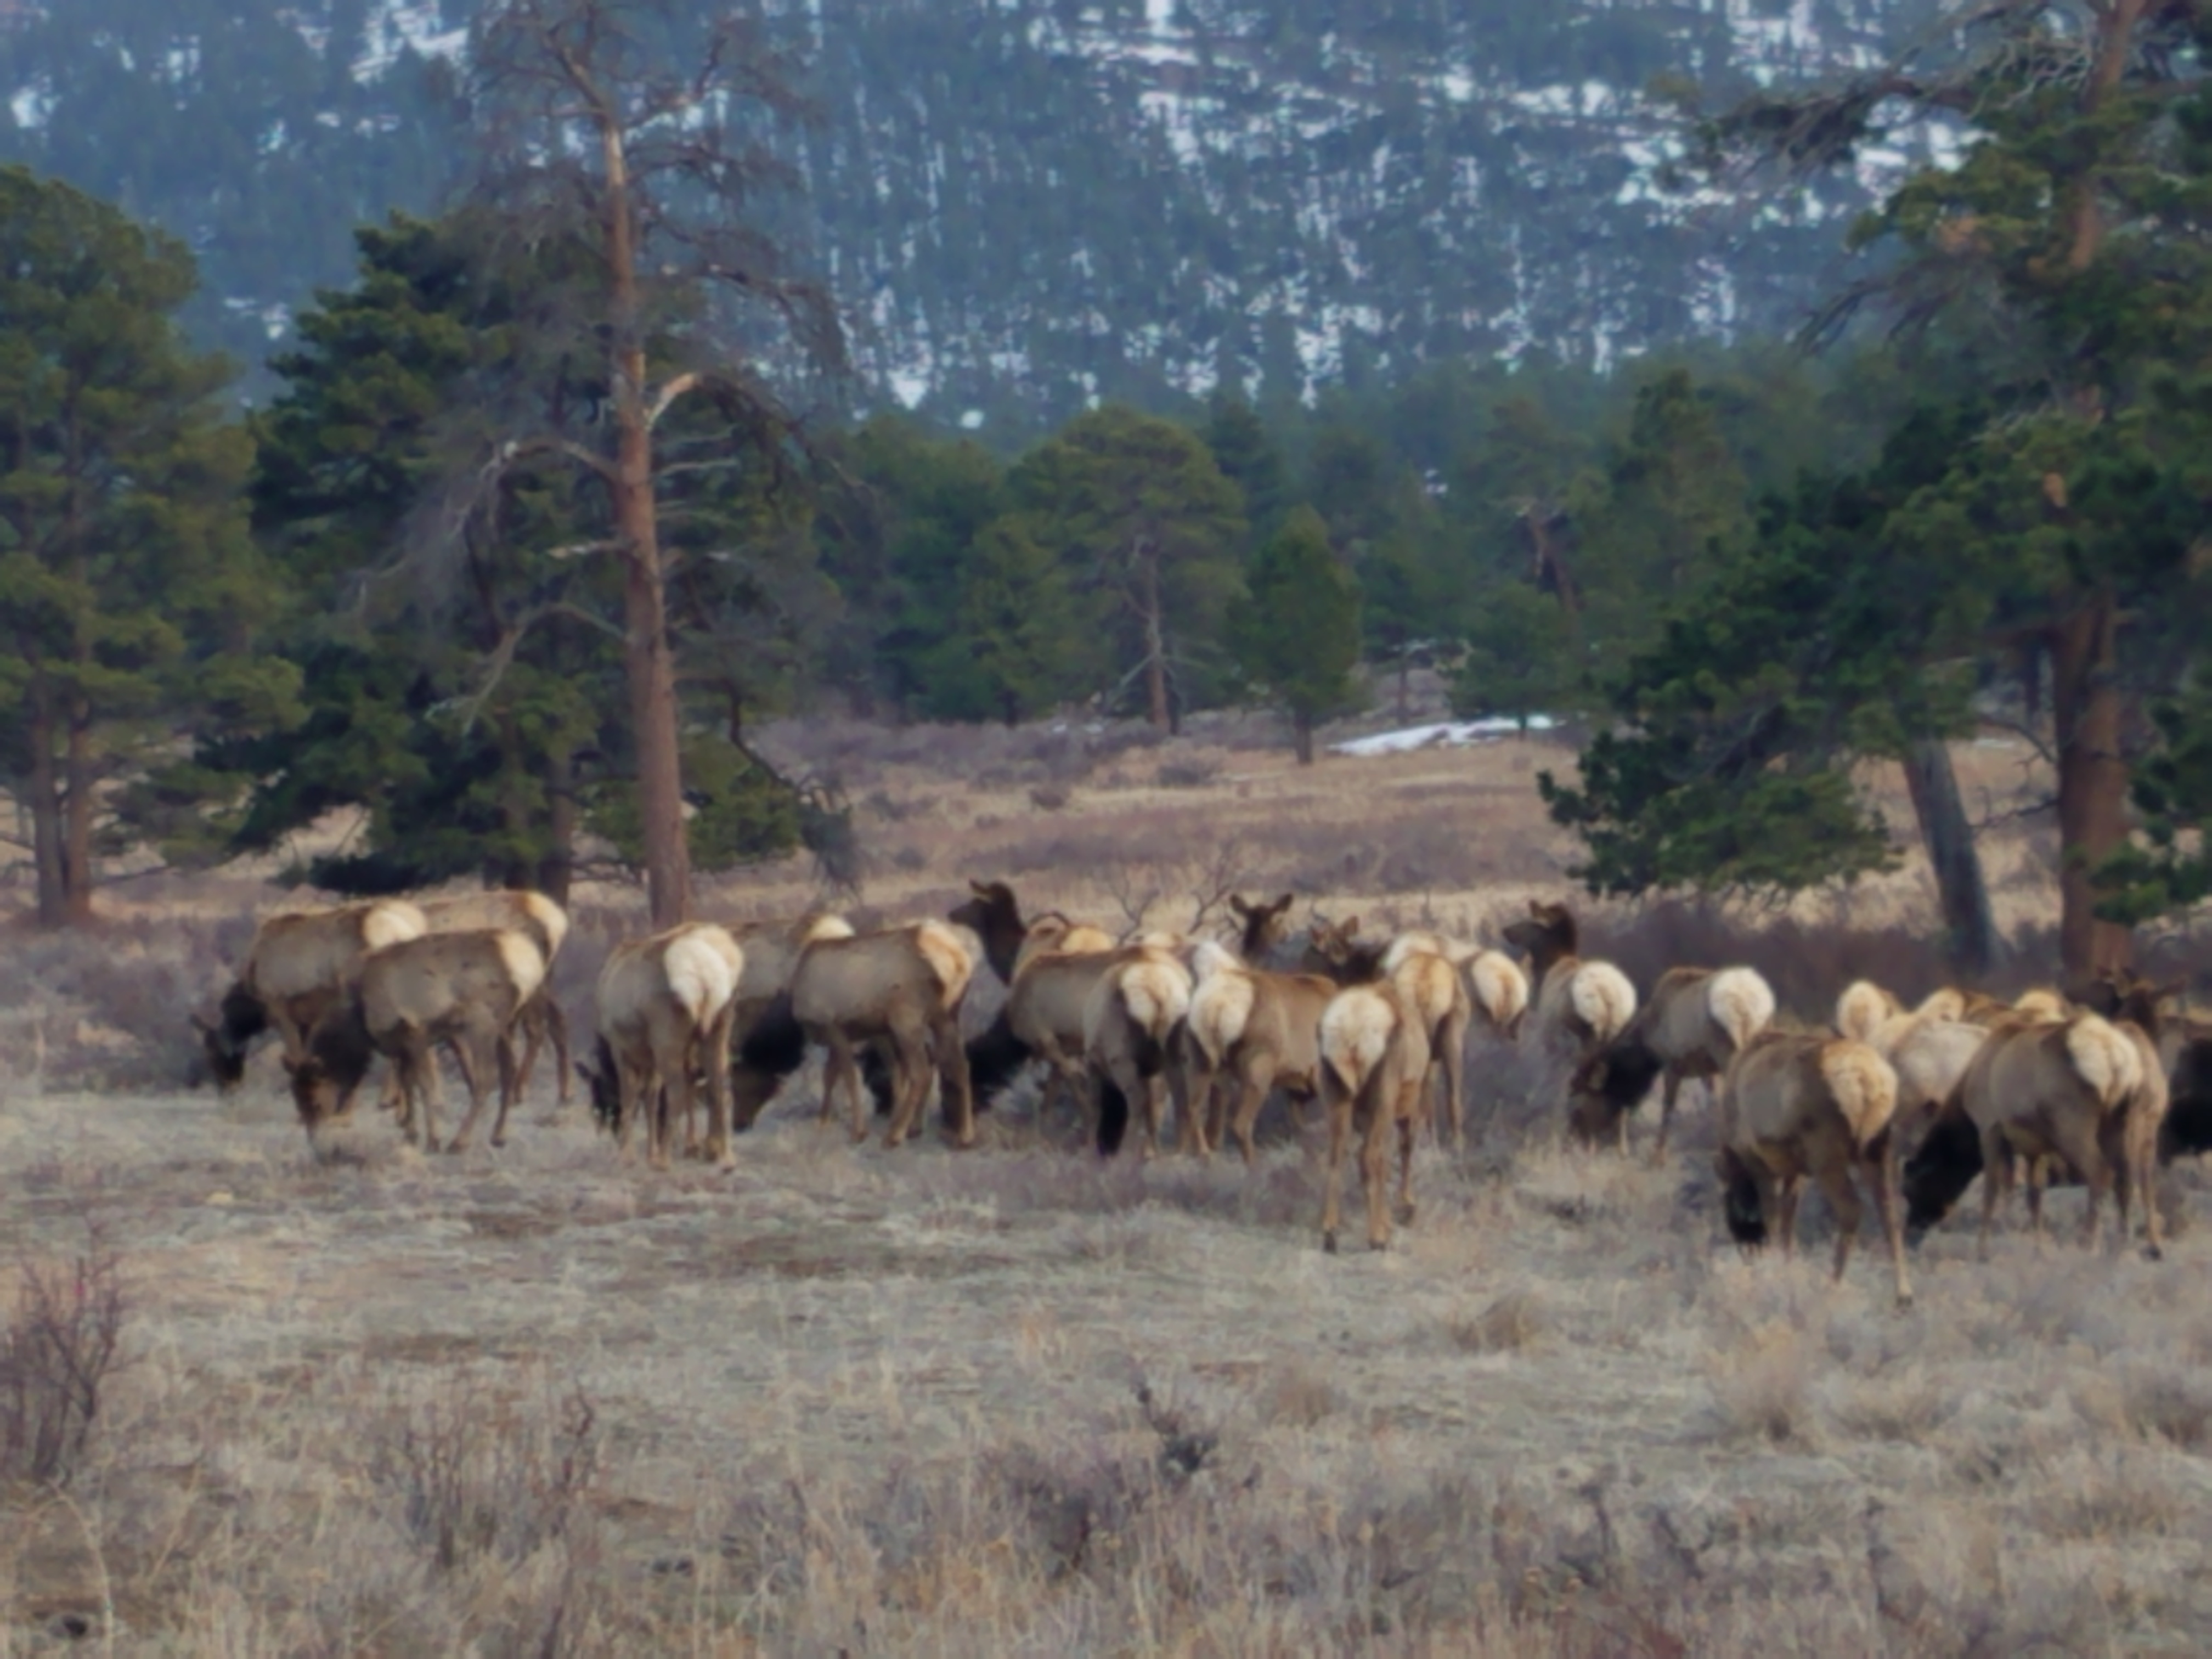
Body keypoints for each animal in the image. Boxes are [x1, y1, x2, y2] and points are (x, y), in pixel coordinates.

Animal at [287, 938, 546, 1159]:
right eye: (297, 1101)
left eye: (316, 1102)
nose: (316, 1146)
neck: (358, 1017)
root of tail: (531, 969)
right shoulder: (401, 1046)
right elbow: (407, 1084)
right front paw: (410, 1135)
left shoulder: (415, 1034)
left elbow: (426, 1087)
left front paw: (433, 1140)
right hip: (506, 1024)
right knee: (509, 1069)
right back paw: (499, 1135)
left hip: (481, 1022)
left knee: (486, 1078)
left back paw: (460, 1141)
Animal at [787, 916, 978, 1150]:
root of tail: (958, 960)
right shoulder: (845, 1036)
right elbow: (830, 1076)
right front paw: (823, 1119)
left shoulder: (834, 1028)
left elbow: (850, 1078)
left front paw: (858, 1131)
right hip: (945, 1016)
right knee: (960, 1066)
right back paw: (964, 1136)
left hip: (906, 1019)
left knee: (921, 1072)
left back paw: (896, 1134)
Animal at [1557, 969, 1778, 1159]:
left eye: (1584, 1095)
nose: (1571, 1142)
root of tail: (1749, 1007)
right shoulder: (1708, 1071)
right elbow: (1712, 1104)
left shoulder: (1672, 1065)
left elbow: (1668, 1108)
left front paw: (1658, 1157)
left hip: (1728, 1054)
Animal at [1716, 1026, 1911, 1309]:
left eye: (1729, 1204)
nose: (1745, 1248)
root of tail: (1866, 1082)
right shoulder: (1795, 1172)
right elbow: (1788, 1223)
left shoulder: (1760, 1163)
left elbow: (1772, 1219)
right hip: (1879, 1151)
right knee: (1891, 1213)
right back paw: (1904, 1296)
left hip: (1826, 1157)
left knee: (1852, 1208)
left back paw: (1832, 1286)